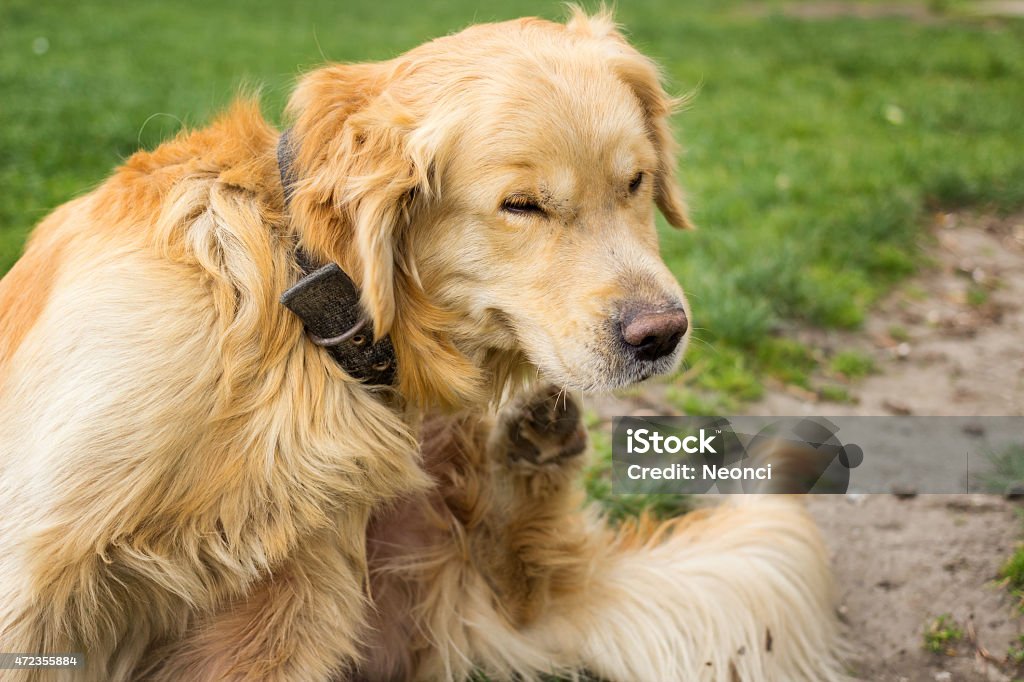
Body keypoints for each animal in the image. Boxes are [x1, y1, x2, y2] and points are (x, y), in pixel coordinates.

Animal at [0, 7, 835, 675]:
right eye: (521, 205)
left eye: (635, 182)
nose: (662, 334)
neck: (300, 296)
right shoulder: (33, 570)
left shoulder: (296, 598)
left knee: (525, 579)